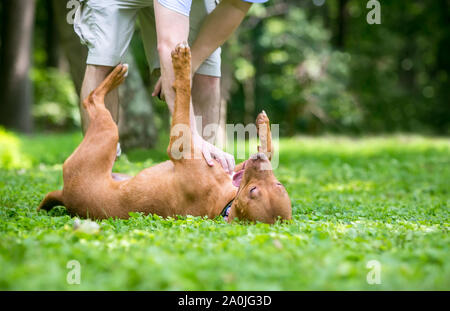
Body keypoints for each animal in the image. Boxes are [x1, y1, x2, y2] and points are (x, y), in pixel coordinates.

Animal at [37, 43, 292, 224]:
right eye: (279, 184)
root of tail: (65, 195)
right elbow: (268, 149)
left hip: (107, 134)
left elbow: (184, 91)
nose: (258, 161)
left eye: (253, 191)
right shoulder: (235, 169)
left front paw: (183, 63)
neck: (224, 203)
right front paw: (264, 124)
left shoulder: (180, 145)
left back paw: (117, 75)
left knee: (91, 100)